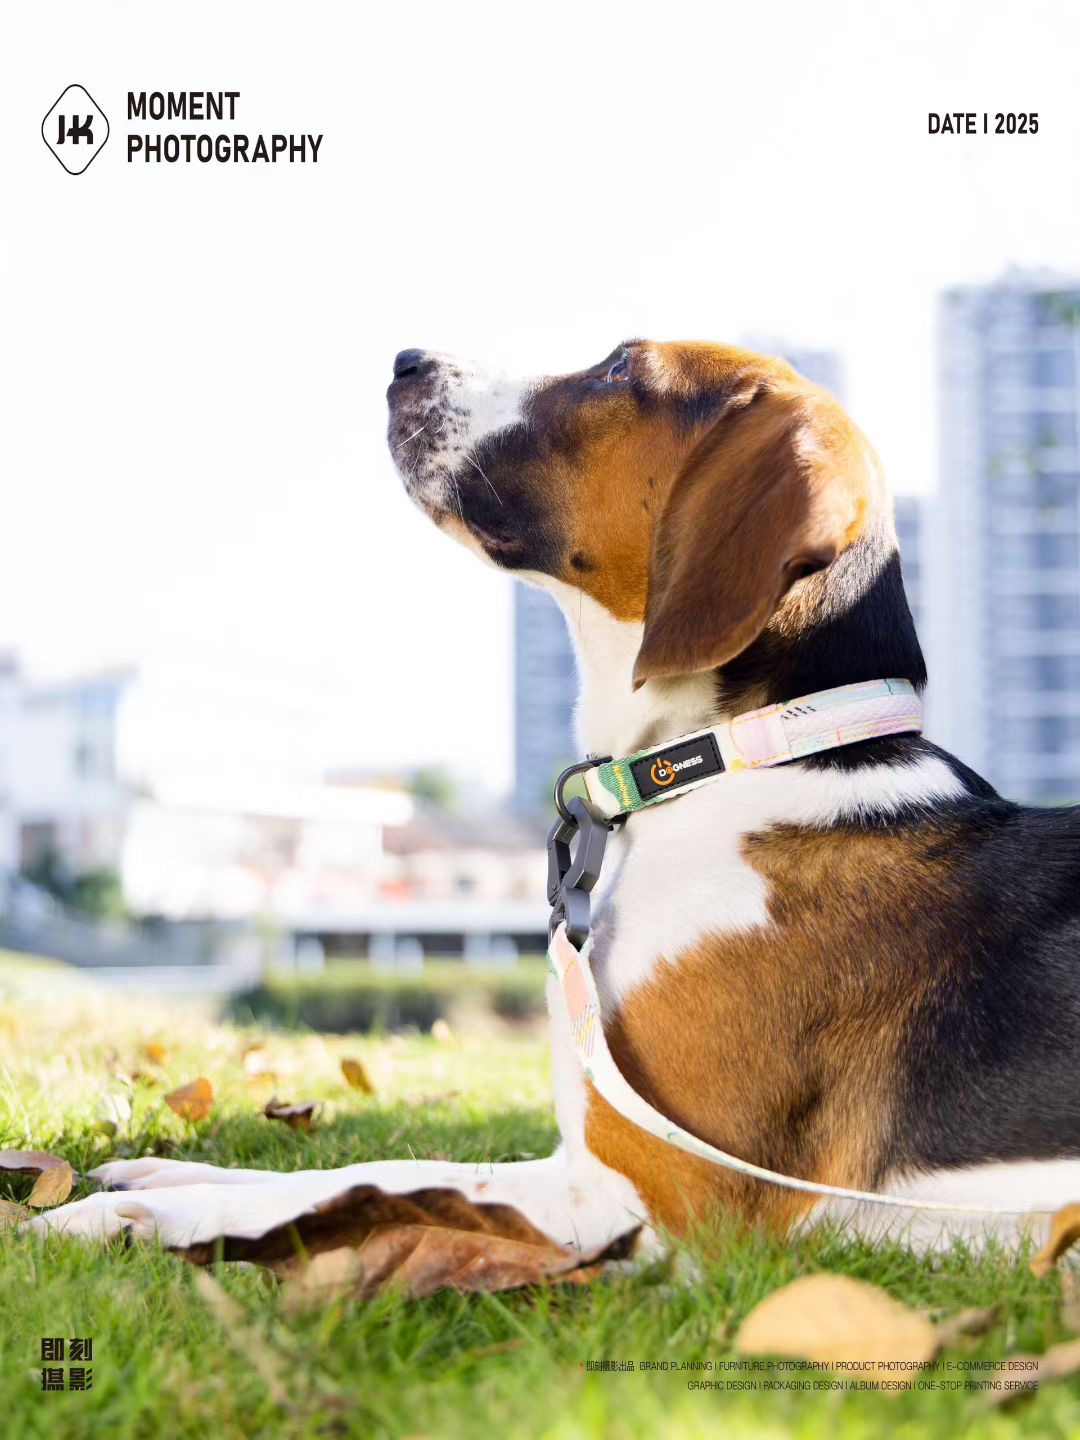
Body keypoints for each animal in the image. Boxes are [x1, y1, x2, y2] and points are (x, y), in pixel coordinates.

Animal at [31, 340, 1080, 1253]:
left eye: (619, 368)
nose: (407, 360)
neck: (751, 758)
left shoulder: (649, 1199)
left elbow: (378, 1191)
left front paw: (131, 1218)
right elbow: (381, 1167)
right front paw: (166, 1175)